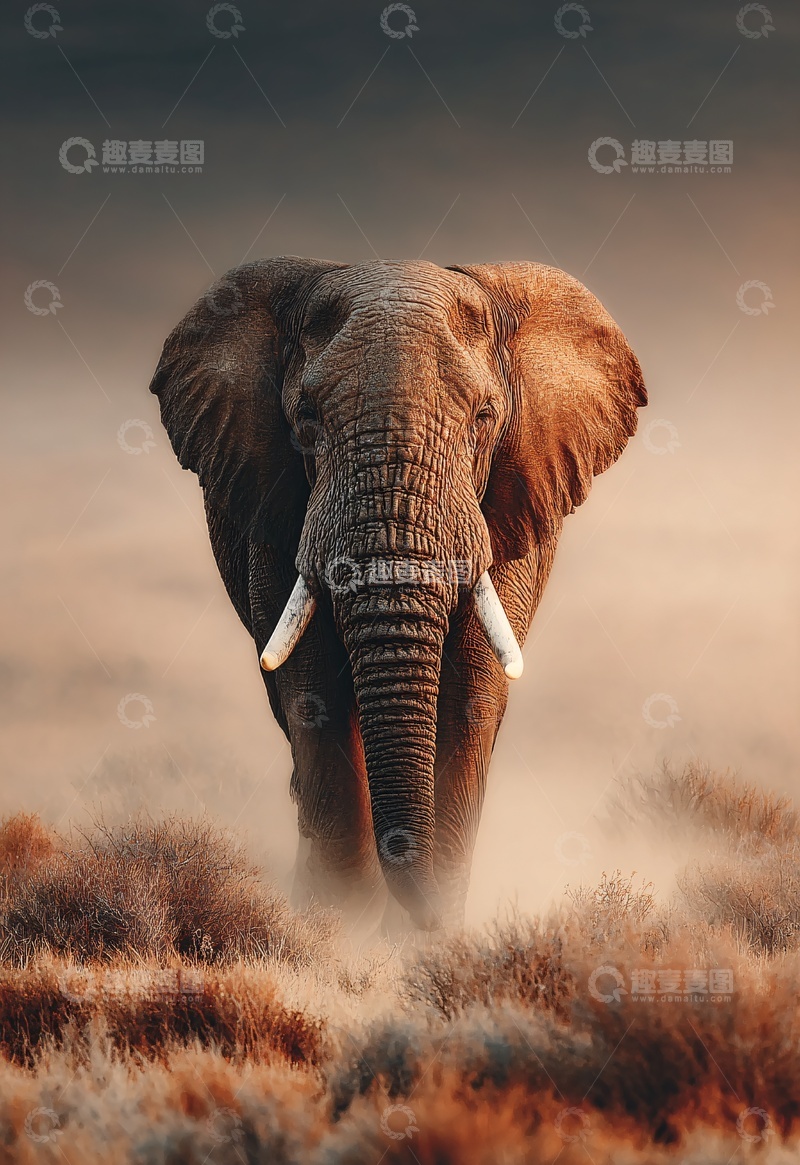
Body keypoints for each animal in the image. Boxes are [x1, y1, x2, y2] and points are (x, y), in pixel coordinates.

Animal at [150, 257, 645, 932]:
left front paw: (418, 939)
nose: (425, 919)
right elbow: (313, 691)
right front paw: (338, 924)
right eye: (306, 420)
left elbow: (472, 695)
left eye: (484, 418)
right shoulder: (273, 509)